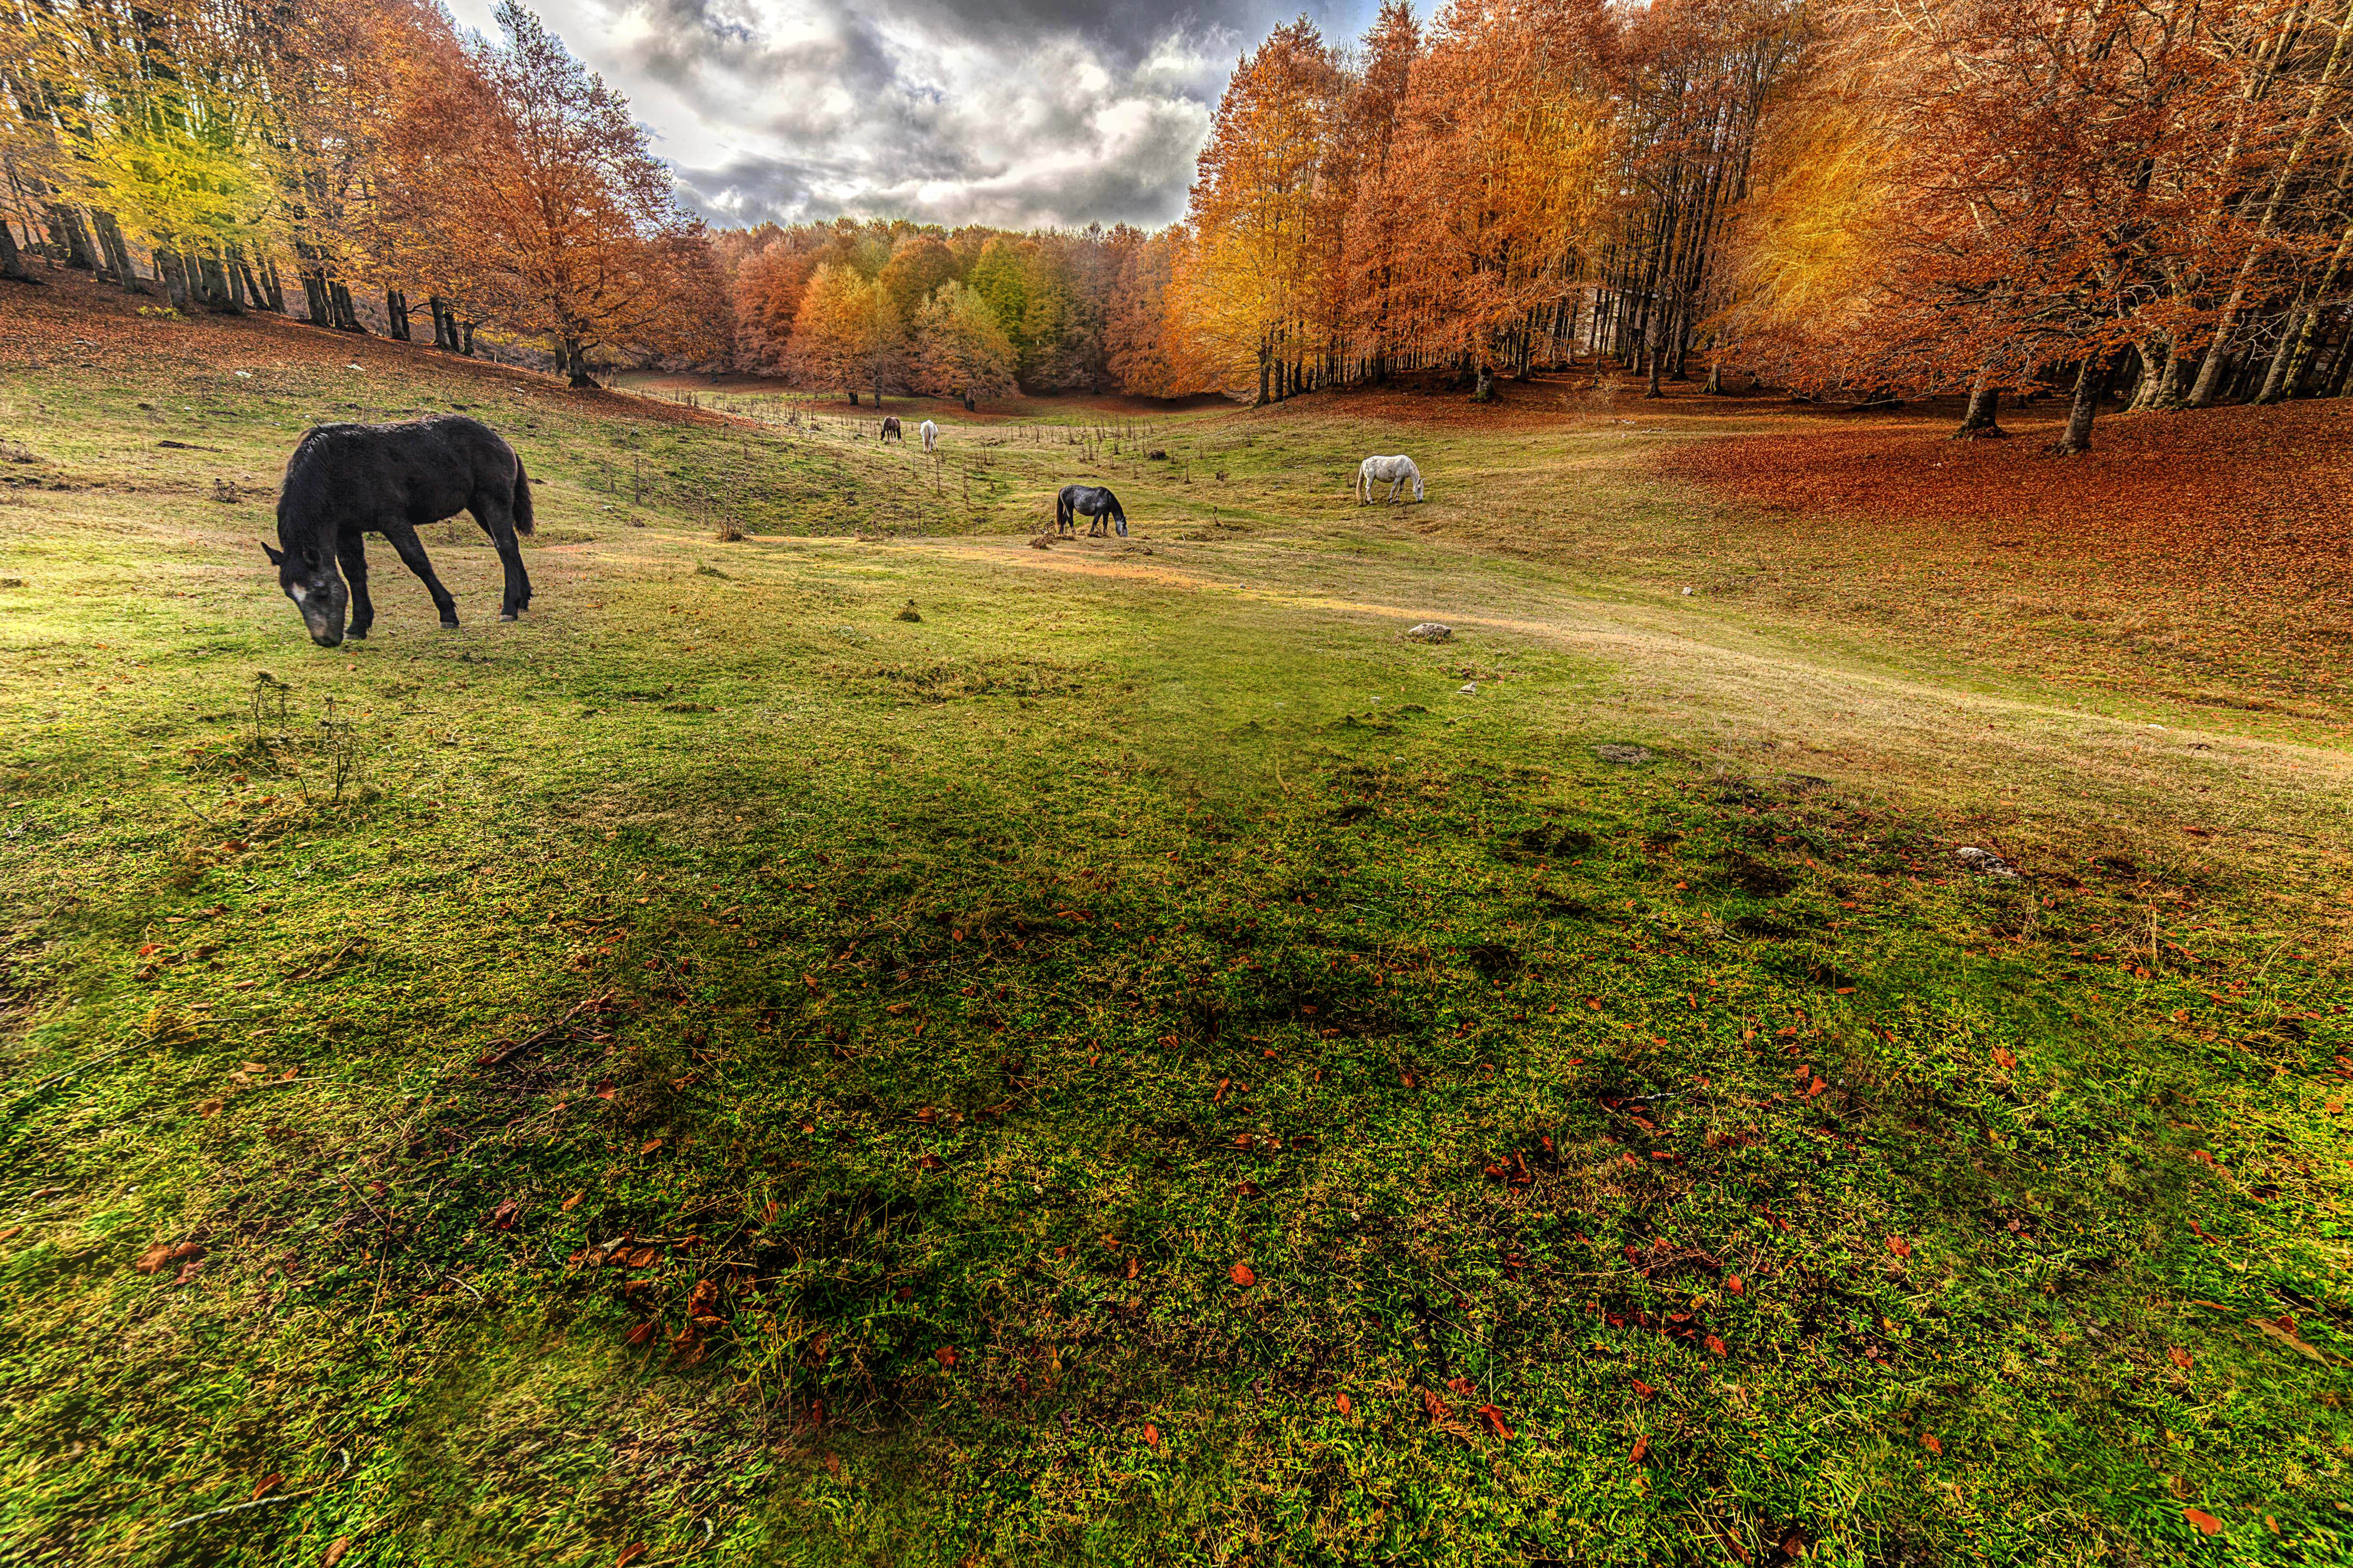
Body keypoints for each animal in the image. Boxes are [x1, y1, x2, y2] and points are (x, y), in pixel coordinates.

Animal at [266, 414, 534, 645]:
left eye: (321, 592)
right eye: (290, 595)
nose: (326, 641)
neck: (335, 466)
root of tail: (502, 442)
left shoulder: (393, 521)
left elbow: (418, 562)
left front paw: (447, 613)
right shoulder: (347, 530)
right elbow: (354, 573)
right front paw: (358, 625)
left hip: (492, 502)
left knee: (505, 547)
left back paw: (509, 608)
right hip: (477, 507)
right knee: (510, 547)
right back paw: (522, 599)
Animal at [1063, 482, 1134, 537]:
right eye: (1124, 526)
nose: (1126, 536)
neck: (1109, 498)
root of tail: (1062, 490)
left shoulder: (1106, 513)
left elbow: (1105, 524)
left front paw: (1105, 534)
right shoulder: (1098, 513)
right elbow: (1095, 523)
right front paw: (1091, 533)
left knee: (1064, 518)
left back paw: (1061, 533)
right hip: (1070, 508)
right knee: (1070, 519)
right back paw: (1074, 533)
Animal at [1355, 452, 1421, 501]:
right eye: (1419, 488)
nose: (1421, 500)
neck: (1407, 465)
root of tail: (1366, 461)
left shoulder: (1403, 479)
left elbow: (1401, 488)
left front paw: (1397, 499)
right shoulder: (1398, 479)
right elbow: (1394, 488)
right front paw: (1390, 499)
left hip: (1372, 478)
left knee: (1368, 488)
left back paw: (1367, 500)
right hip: (1370, 478)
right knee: (1368, 488)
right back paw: (1371, 501)